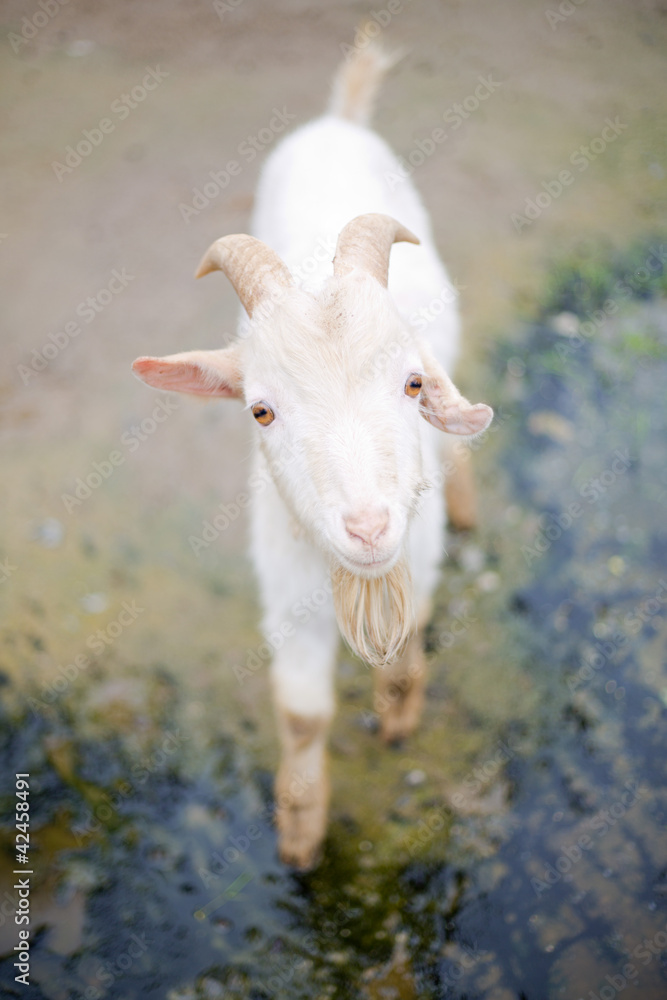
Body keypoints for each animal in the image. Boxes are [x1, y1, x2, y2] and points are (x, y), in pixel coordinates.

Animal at [132, 45, 493, 869]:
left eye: (411, 383)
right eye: (259, 409)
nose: (366, 527)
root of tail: (338, 118)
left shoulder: (415, 557)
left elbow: (407, 640)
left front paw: (398, 716)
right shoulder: (284, 592)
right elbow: (300, 714)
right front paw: (299, 832)